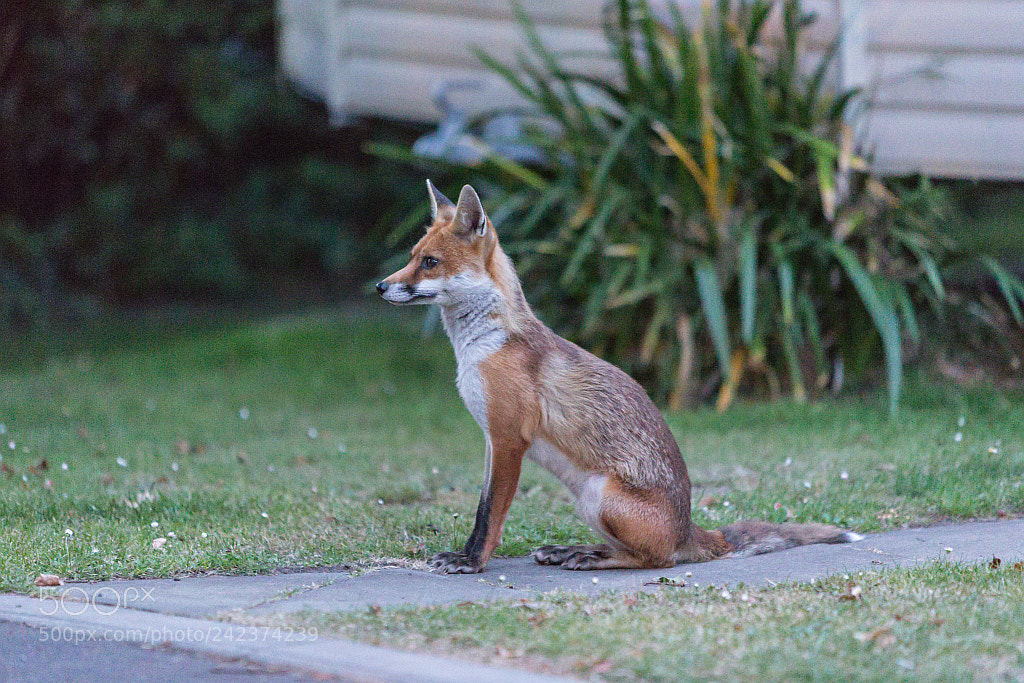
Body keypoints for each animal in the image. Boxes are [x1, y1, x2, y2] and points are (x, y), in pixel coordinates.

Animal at [376, 181, 863, 574]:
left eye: (430, 262)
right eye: (412, 258)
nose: (380, 286)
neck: (483, 343)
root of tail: (690, 528)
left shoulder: (509, 437)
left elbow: (490, 514)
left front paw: (473, 562)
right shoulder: (490, 440)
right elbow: (482, 506)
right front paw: (467, 556)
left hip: (601, 495)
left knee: (655, 559)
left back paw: (590, 557)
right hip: (587, 500)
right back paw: (574, 550)